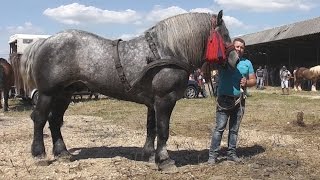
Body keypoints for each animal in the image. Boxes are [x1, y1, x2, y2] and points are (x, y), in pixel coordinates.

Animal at [22, 10, 238, 171]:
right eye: (225, 34)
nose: (236, 59)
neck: (166, 50)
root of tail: (44, 42)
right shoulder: (165, 99)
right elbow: (163, 129)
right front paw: (164, 160)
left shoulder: (153, 102)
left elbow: (152, 128)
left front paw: (150, 156)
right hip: (48, 93)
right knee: (39, 119)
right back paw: (39, 154)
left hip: (64, 94)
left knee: (54, 120)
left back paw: (63, 153)